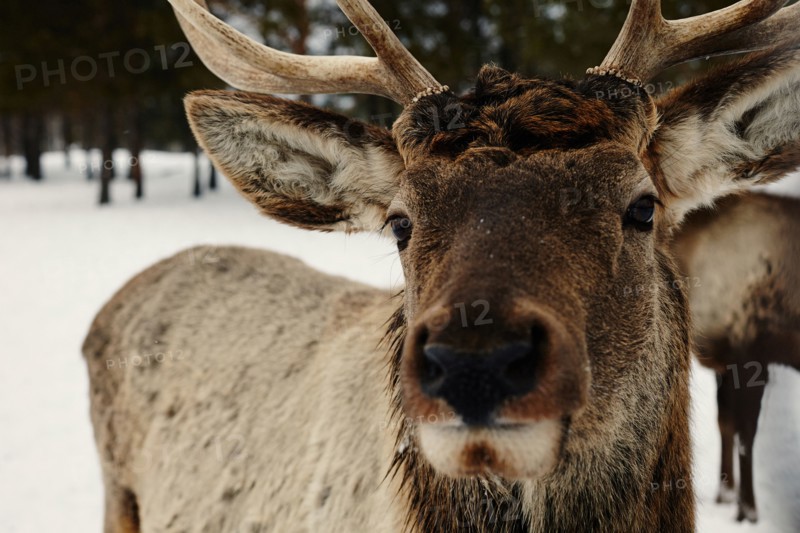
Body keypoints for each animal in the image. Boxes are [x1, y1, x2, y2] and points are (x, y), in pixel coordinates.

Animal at [672, 191, 800, 524]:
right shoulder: (731, 357)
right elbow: (728, 424)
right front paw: (731, 498)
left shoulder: (748, 354)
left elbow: (743, 431)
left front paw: (747, 509)